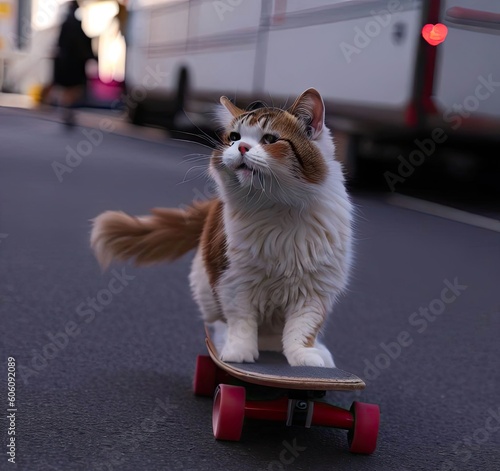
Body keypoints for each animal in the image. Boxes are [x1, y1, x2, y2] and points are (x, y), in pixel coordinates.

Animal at [91, 88, 356, 368]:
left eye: (270, 139)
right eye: (234, 137)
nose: (241, 147)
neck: (278, 208)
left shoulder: (315, 289)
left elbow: (302, 328)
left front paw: (304, 356)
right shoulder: (233, 279)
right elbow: (241, 322)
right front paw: (239, 353)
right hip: (205, 286)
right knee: (218, 322)